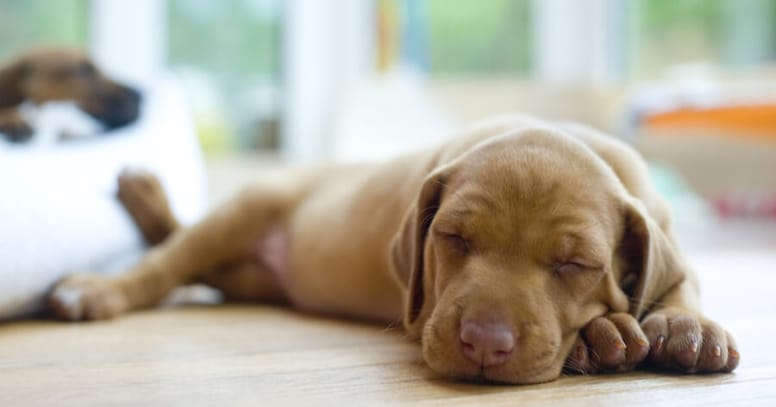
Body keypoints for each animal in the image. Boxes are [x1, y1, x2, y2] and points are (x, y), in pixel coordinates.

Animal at [48, 115, 740, 386]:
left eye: (574, 265)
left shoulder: (661, 228)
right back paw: (97, 285)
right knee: (168, 261)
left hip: (248, 274)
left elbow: (680, 279)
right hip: (252, 206)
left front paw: (685, 326)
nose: (485, 343)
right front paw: (605, 335)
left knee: (197, 261)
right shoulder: (424, 307)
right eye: (453, 238)